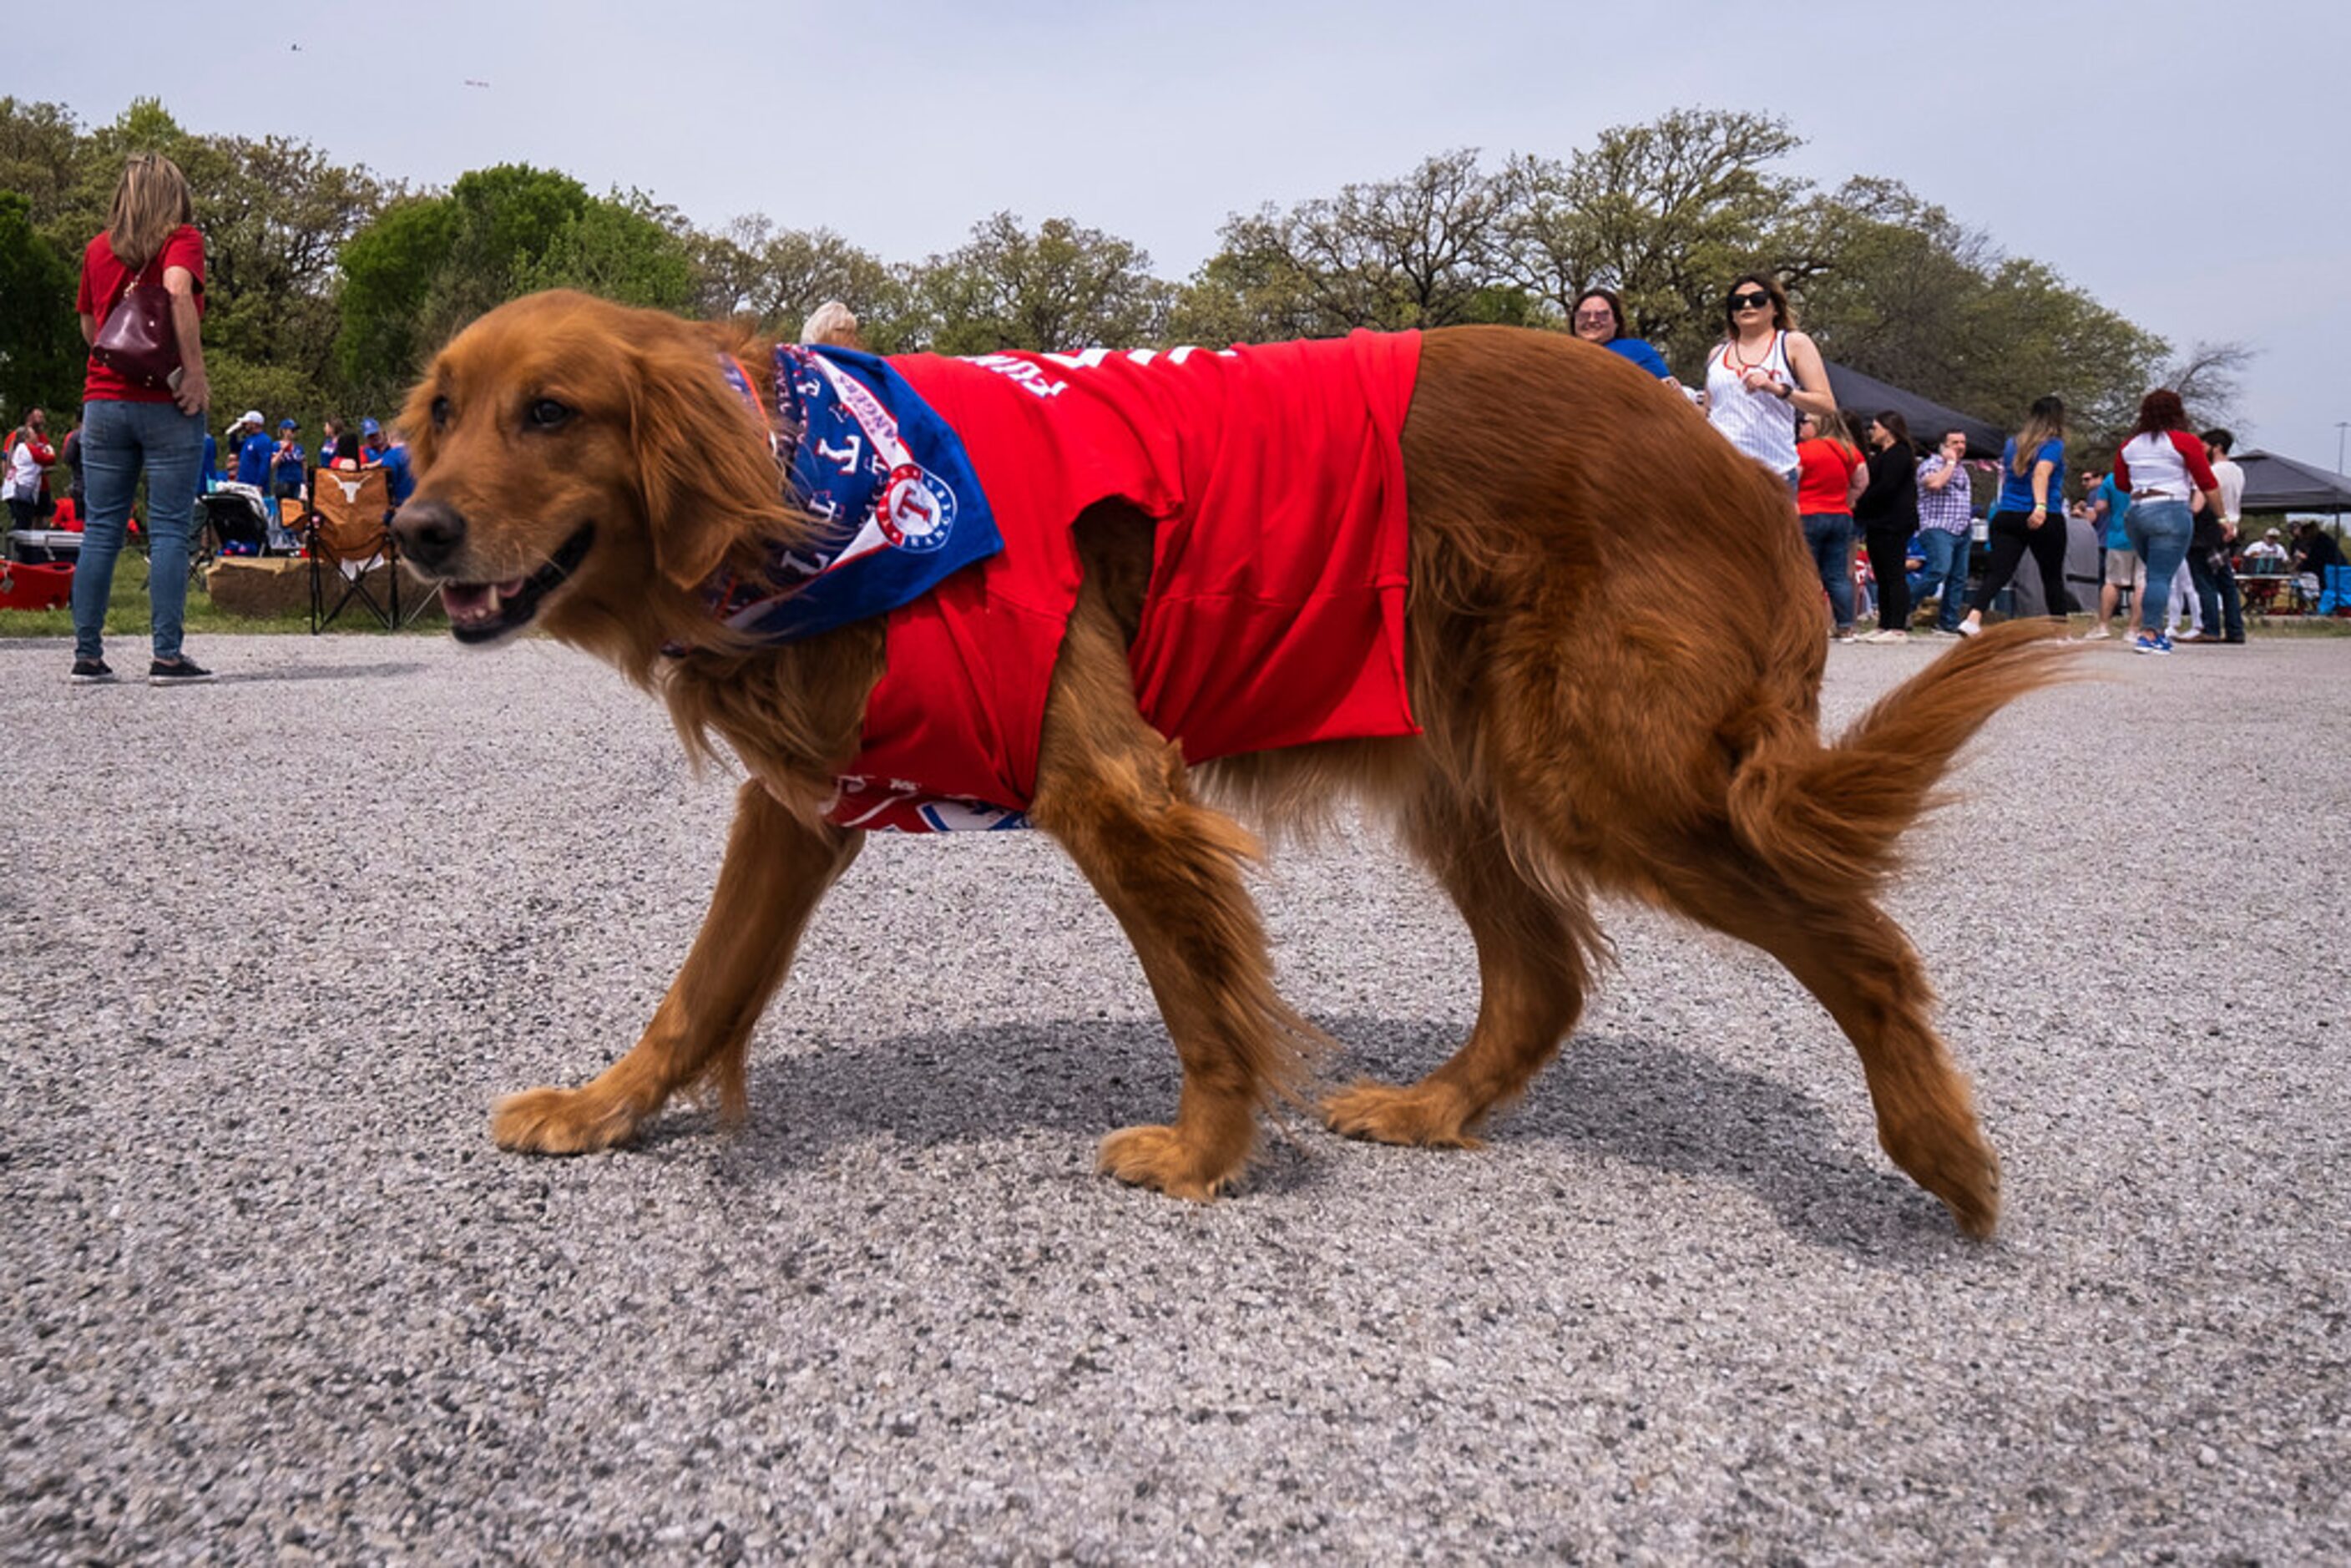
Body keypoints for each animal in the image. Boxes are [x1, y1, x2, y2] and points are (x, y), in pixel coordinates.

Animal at [395, 291, 2069, 1241]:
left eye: (552, 412)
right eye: (440, 411)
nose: (409, 530)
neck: (822, 487)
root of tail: (1734, 458)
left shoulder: (1110, 785)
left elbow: (1201, 995)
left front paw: (1204, 1155)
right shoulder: (806, 799)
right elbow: (701, 985)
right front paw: (604, 1109)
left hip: (1607, 772)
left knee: (1855, 939)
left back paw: (1945, 1157)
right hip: (1465, 768)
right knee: (1544, 971)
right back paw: (1435, 1112)